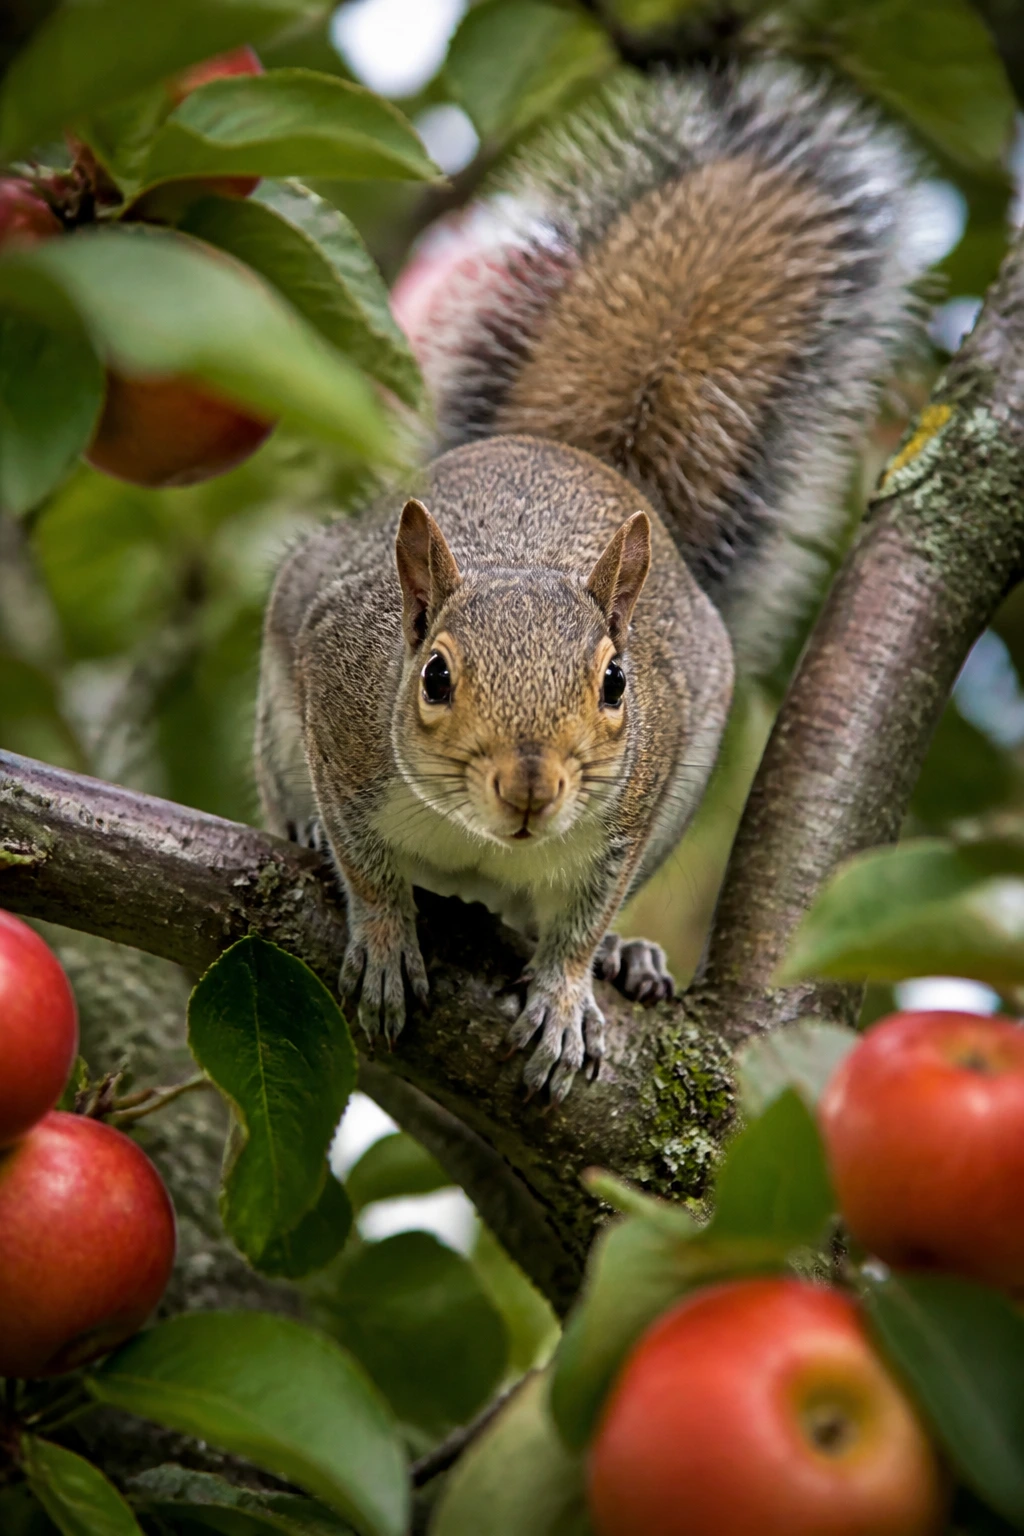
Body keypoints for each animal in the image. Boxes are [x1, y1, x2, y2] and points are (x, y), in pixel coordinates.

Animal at [256, 60, 924, 1101]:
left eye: (617, 682)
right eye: (434, 676)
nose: (530, 786)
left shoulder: (637, 798)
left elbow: (582, 914)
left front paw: (571, 991)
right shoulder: (341, 704)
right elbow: (368, 863)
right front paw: (385, 933)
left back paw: (627, 959)